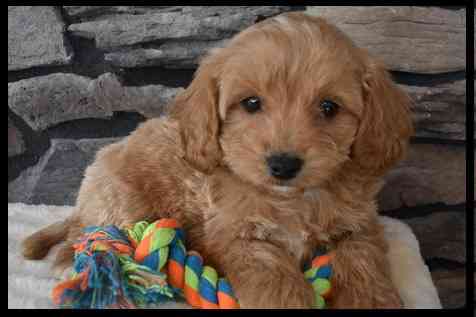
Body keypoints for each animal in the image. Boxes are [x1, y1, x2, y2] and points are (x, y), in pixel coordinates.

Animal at [22, 13, 412, 308]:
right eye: (251, 103)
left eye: (329, 107)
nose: (283, 165)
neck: (294, 200)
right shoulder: (235, 236)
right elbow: (273, 275)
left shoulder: (359, 226)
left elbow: (363, 262)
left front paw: (372, 300)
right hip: (122, 201)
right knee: (87, 235)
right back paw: (69, 260)